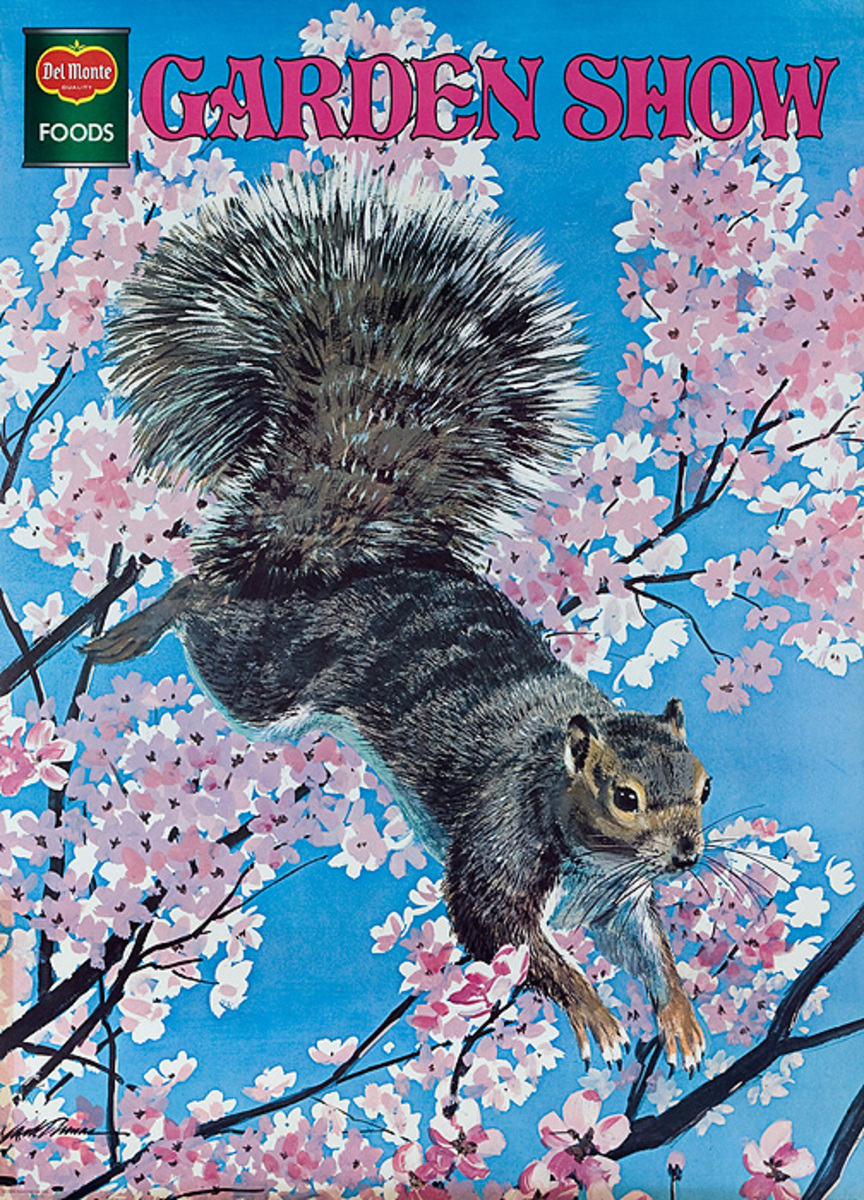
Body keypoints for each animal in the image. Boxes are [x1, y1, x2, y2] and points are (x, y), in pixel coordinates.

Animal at [88, 167, 709, 1070]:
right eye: (624, 796)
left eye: (704, 785)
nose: (690, 853)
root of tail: (346, 561)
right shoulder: (501, 826)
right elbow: (500, 928)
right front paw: (591, 1009)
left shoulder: (615, 891)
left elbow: (644, 940)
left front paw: (681, 1016)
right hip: (265, 673)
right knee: (201, 598)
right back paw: (130, 629)